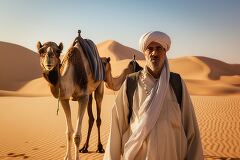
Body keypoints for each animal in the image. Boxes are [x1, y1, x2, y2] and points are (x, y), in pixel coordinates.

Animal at [37, 32, 142, 160]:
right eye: (41, 51)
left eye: (58, 51)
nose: (49, 60)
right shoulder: (64, 98)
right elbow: (69, 132)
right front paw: (67, 157)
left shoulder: (83, 97)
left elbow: (77, 135)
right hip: (90, 92)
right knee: (91, 118)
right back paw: (85, 147)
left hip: (98, 87)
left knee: (98, 117)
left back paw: (99, 147)